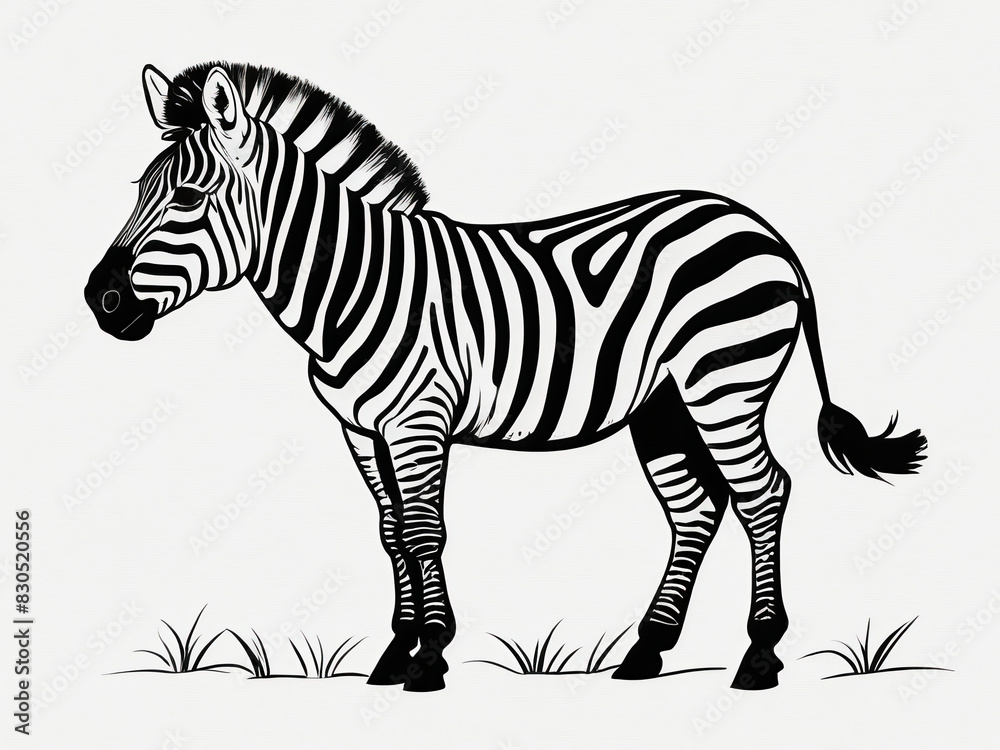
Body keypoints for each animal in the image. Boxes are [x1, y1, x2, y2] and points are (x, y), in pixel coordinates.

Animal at [85, 62, 927, 692]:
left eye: (188, 196)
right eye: (136, 192)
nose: (101, 301)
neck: (351, 284)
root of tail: (761, 226)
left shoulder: (418, 419)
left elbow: (426, 532)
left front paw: (430, 656)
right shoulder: (359, 430)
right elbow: (391, 533)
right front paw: (395, 652)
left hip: (724, 378)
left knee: (763, 493)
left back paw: (758, 655)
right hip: (664, 403)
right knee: (696, 507)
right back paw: (646, 650)